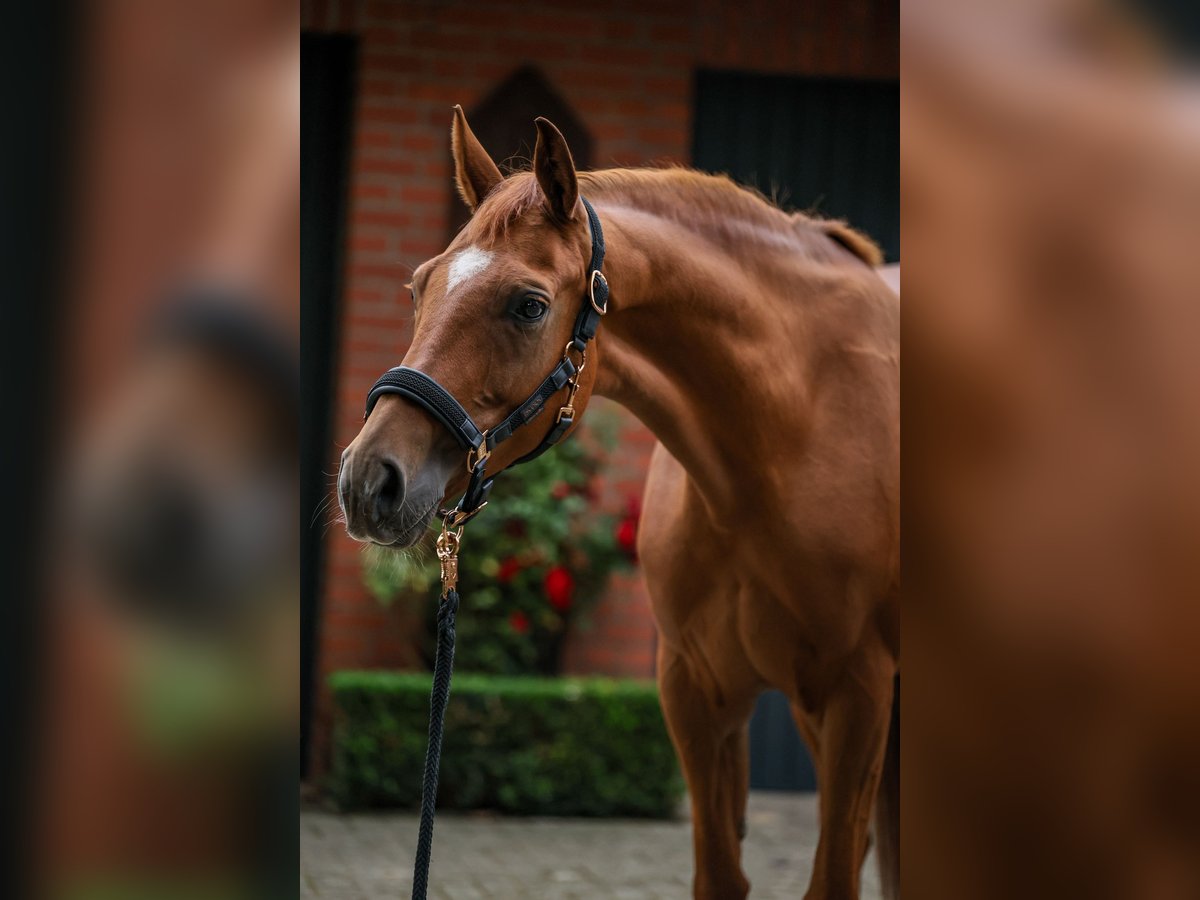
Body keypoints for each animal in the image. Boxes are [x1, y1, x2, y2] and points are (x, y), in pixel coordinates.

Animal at [338, 107, 899, 900]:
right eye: (420, 286)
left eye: (530, 305)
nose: (368, 480)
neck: (788, 438)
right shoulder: (696, 694)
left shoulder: (858, 695)